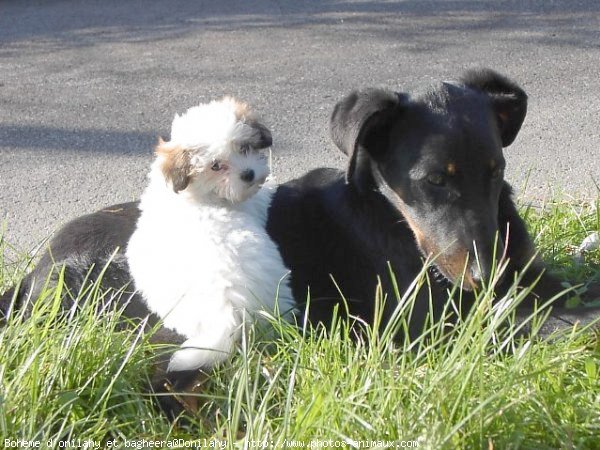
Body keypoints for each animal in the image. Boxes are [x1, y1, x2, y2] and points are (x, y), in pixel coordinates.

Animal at [126, 97, 296, 372]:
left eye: (244, 147)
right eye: (216, 166)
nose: (248, 174)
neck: (198, 193)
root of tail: (227, 311)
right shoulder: (248, 202)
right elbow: (261, 196)